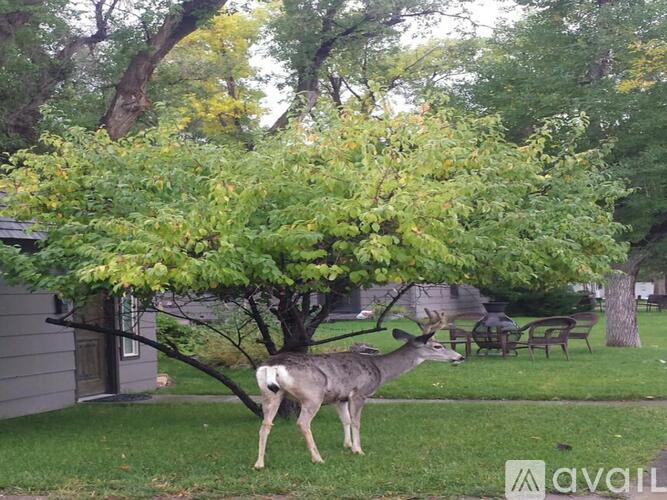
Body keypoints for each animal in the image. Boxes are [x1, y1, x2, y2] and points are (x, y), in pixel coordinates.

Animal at [253, 309, 463, 469]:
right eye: (437, 346)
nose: (459, 357)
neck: (380, 369)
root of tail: (272, 366)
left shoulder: (340, 397)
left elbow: (345, 420)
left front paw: (347, 445)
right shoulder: (359, 392)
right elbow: (355, 422)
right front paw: (358, 450)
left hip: (271, 393)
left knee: (265, 424)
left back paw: (259, 464)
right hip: (312, 394)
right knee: (302, 423)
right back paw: (317, 458)